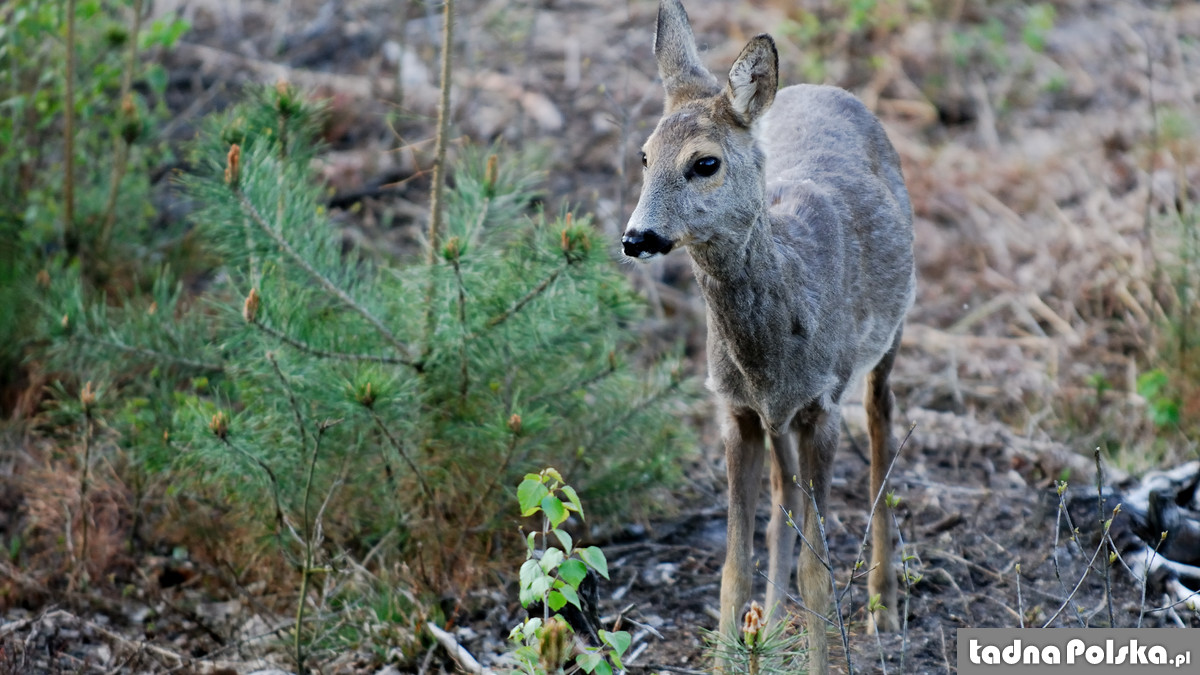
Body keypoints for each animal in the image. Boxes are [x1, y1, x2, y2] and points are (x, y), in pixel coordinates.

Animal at [624, 1, 912, 667]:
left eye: (705, 162)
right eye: (645, 156)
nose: (636, 237)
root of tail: (828, 89)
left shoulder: (822, 405)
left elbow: (817, 570)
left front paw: (821, 660)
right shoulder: (735, 411)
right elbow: (734, 566)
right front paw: (731, 655)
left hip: (892, 333)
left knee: (882, 425)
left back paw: (883, 606)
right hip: (777, 421)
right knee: (785, 495)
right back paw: (774, 624)